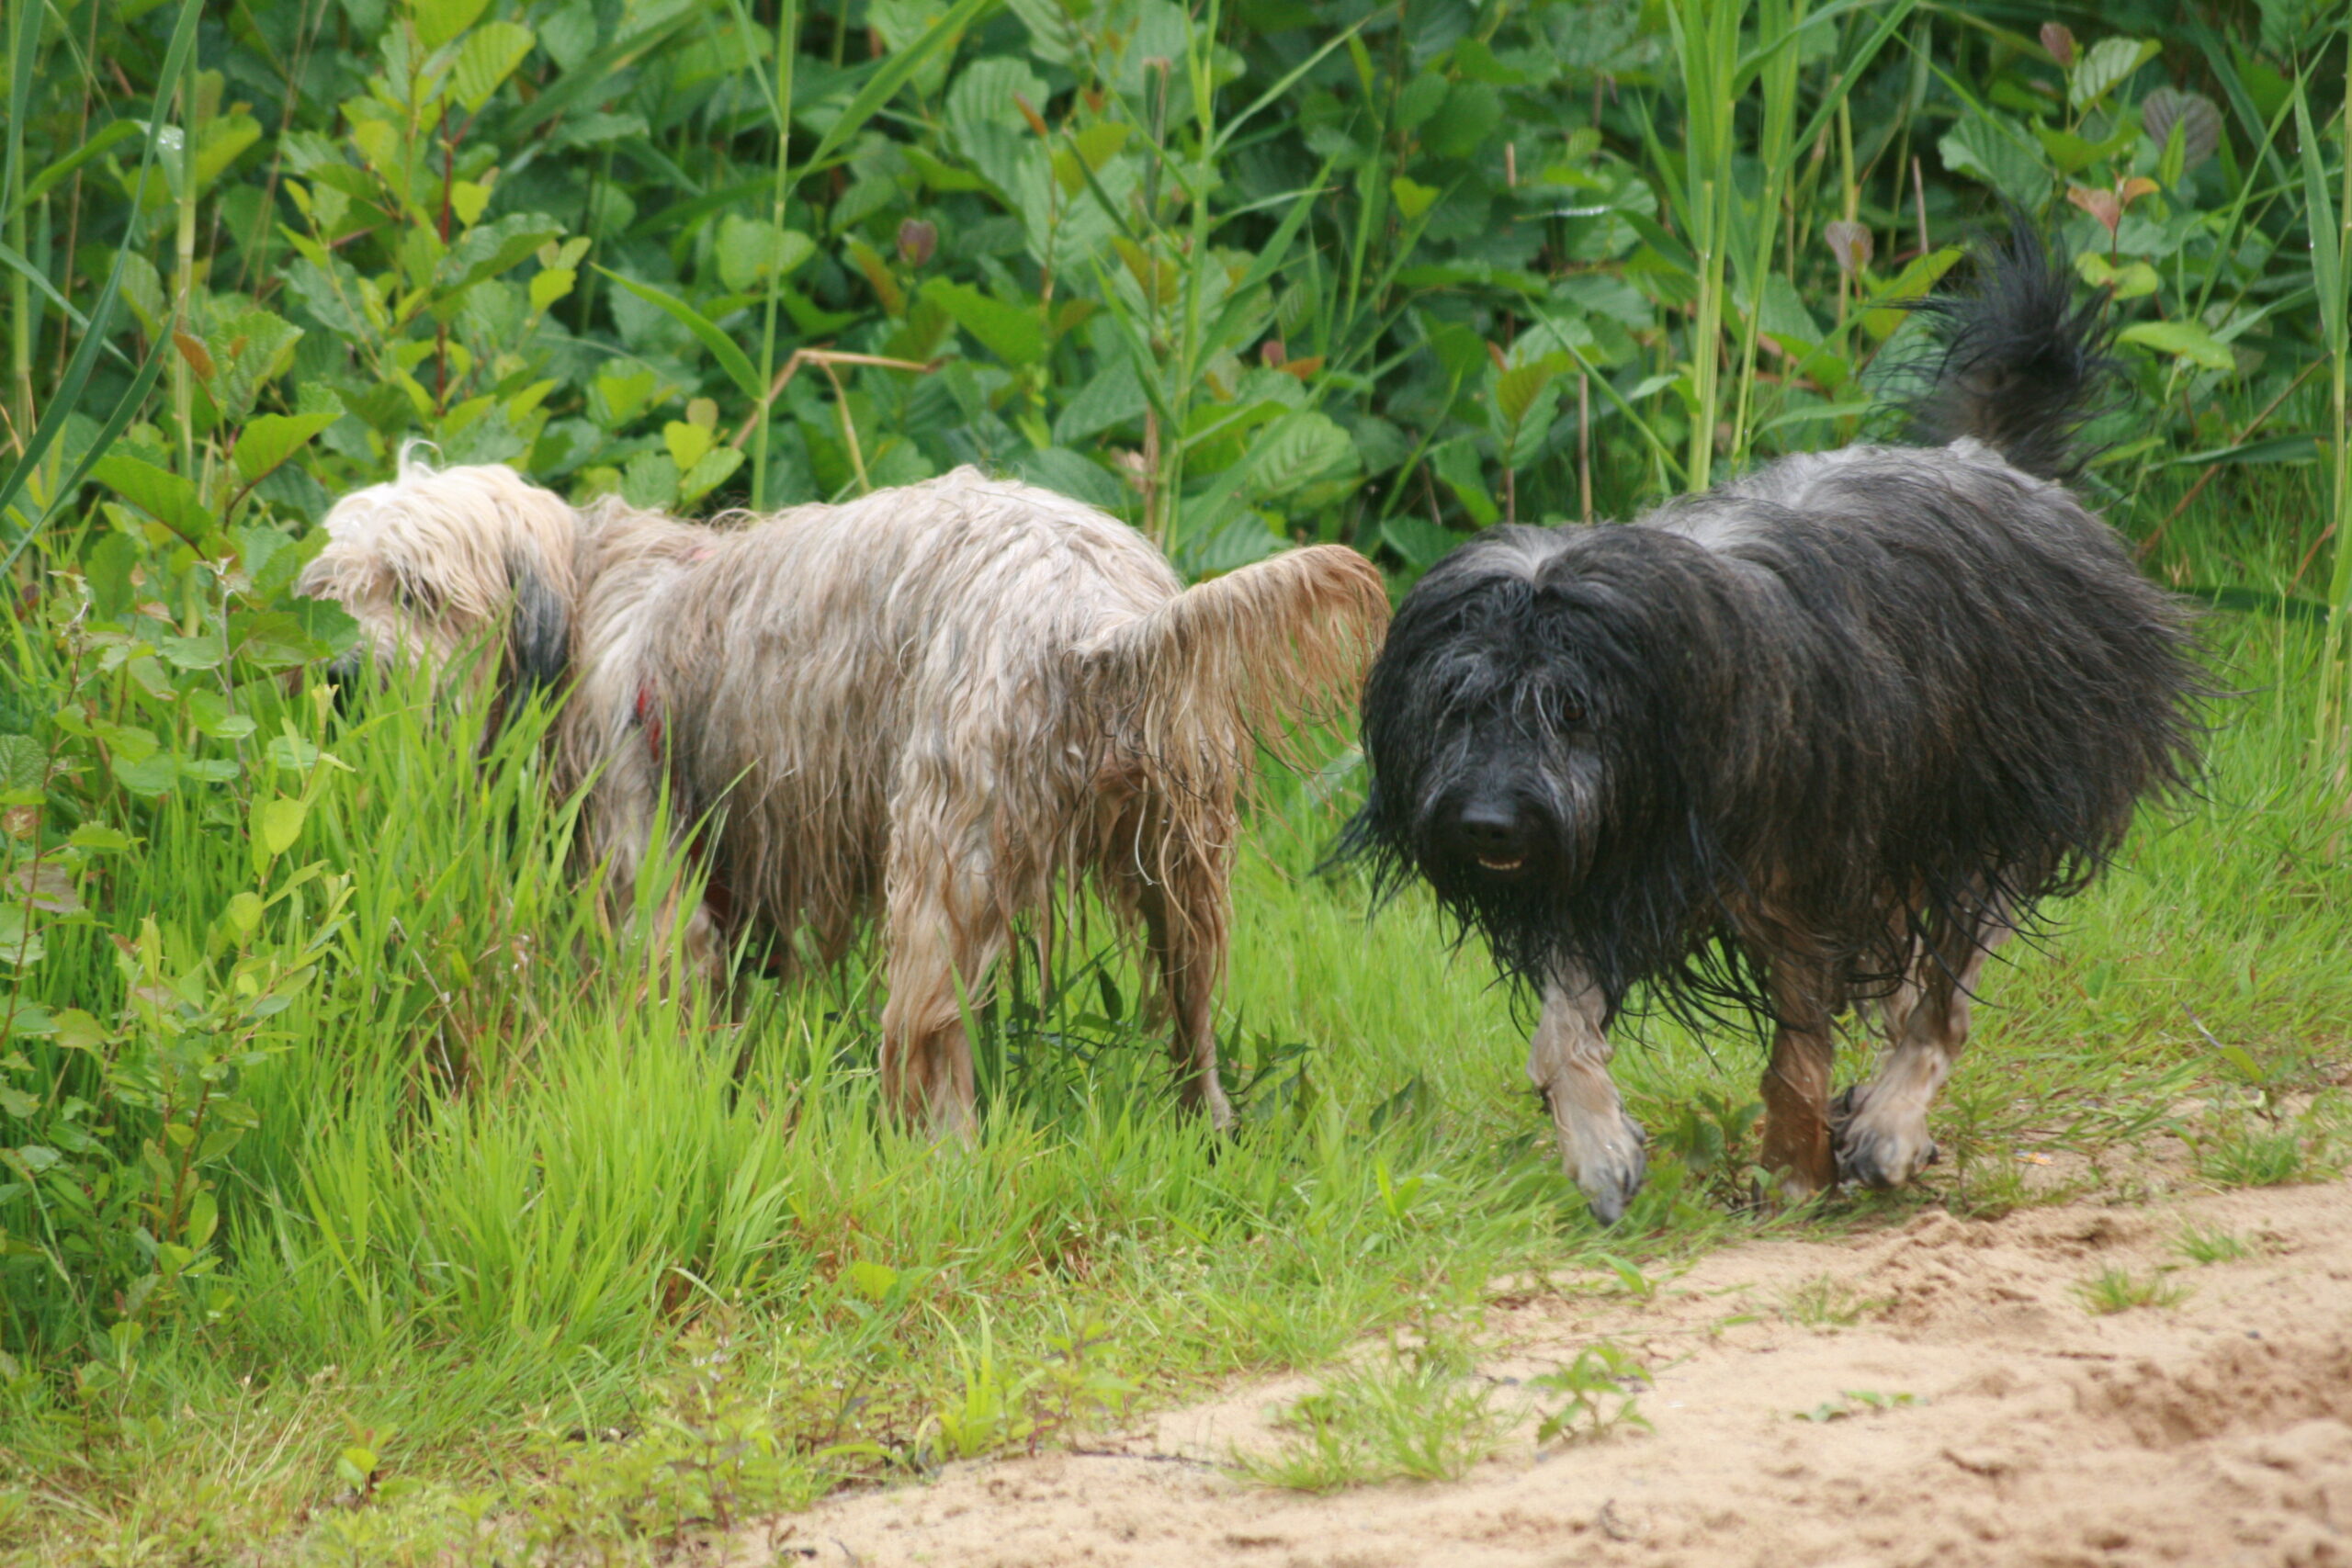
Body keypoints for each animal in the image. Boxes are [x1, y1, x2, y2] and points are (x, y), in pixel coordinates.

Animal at [1345, 223, 2201, 1222]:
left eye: (1572, 709)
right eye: (1456, 703)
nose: (1486, 823)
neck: (1685, 702)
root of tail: (1989, 460)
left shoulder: (1802, 877)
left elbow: (1800, 1047)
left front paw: (1796, 1168)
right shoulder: (1596, 862)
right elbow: (1562, 1031)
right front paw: (1600, 1146)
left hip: (1994, 798)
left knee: (1944, 991)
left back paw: (1888, 1125)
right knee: (1908, 973)